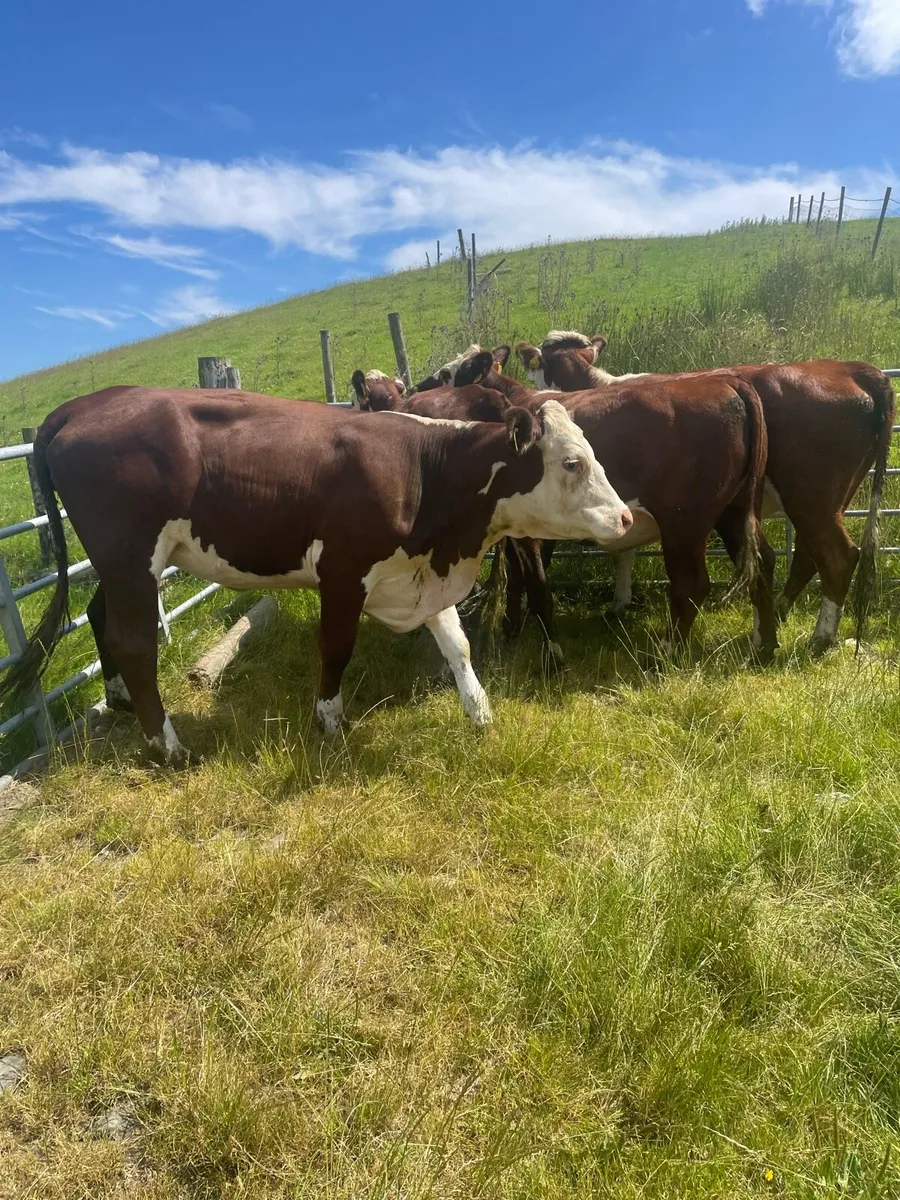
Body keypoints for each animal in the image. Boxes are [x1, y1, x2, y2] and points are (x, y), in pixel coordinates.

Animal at [0, 386, 633, 767]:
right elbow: (336, 648)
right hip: (131, 558)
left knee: (100, 616)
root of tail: (82, 404)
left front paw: (480, 713)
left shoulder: (420, 572)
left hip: (122, 566)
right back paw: (169, 745)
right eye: (572, 462)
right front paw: (329, 720)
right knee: (134, 643)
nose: (626, 517)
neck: (425, 469)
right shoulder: (344, 572)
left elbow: (457, 645)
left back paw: (120, 701)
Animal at [413, 344, 777, 659]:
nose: (415, 387)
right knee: (763, 563)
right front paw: (511, 629)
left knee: (691, 583)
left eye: (448, 373)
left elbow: (535, 584)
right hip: (735, 510)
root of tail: (727, 382)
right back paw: (764, 646)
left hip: (685, 522)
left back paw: (667, 650)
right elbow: (517, 579)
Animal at [518, 330, 895, 653]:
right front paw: (619, 603)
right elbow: (623, 550)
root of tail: (852, 369)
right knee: (801, 556)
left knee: (834, 557)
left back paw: (817, 638)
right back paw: (777, 621)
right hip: (823, 501)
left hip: (808, 500)